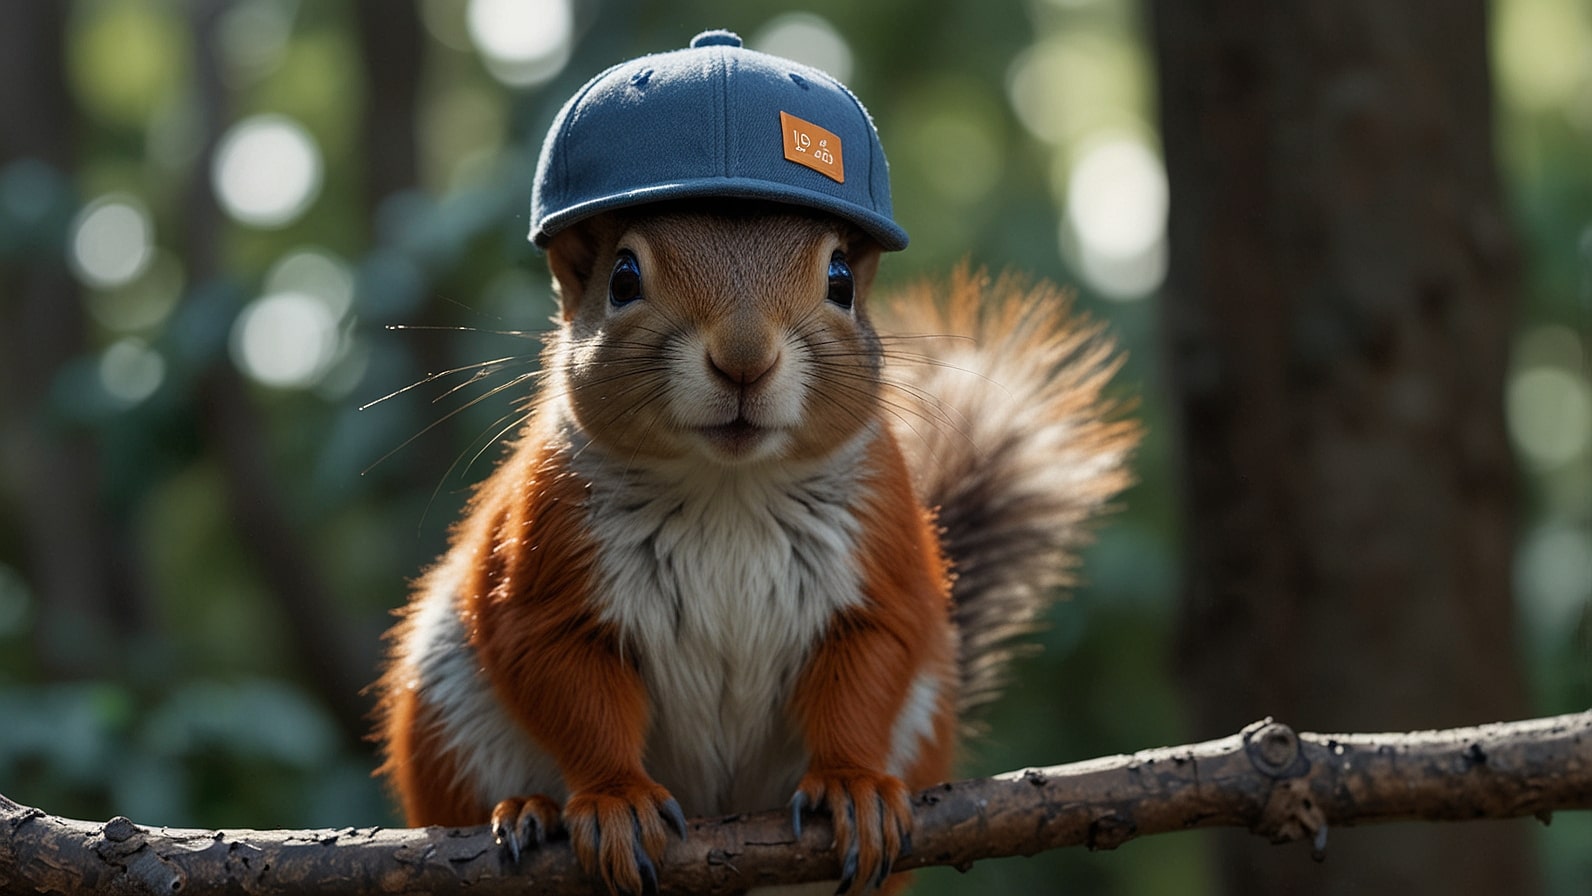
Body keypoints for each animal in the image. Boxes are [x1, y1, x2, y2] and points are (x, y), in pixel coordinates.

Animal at [371, 30, 1137, 896]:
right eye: (622, 278)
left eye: (840, 279)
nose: (744, 358)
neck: (727, 489)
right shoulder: (543, 563)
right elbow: (571, 689)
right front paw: (614, 797)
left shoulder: (881, 555)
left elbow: (867, 668)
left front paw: (851, 784)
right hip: (445, 710)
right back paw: (529, 809)